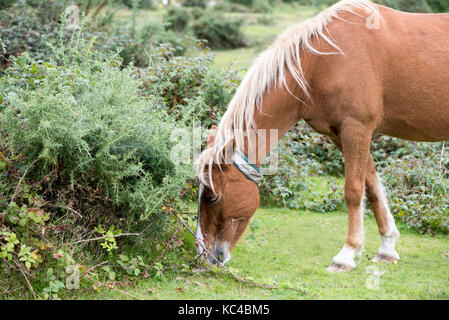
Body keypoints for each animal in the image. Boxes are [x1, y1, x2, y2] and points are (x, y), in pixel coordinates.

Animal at [194, 0, 448, 272]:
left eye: (212, 196)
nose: (203, 255)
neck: (321, 62)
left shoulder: (356, 128)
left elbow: (354, 190)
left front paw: (347, 254)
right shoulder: (340, 133)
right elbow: (371, 185)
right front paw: (387, 248)